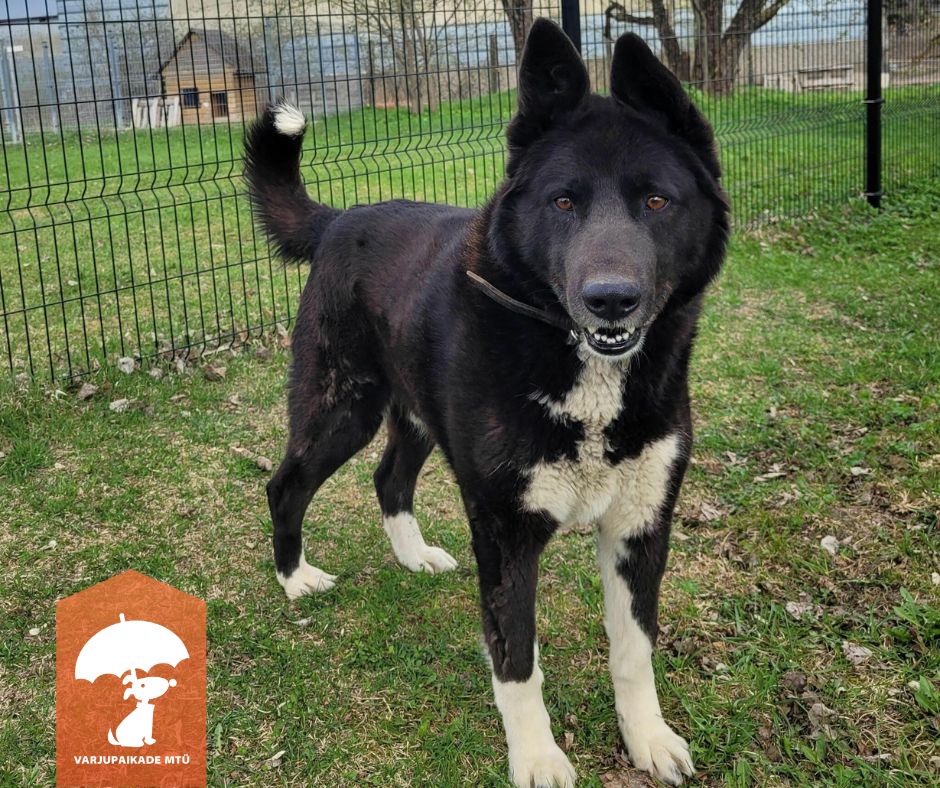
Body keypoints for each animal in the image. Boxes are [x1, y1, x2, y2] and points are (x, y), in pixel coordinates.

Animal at [245, 18, 728, 787]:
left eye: (657, 201)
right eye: (563, 201)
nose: (610, 299)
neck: (585, 370)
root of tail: (341, 217)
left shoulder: (641, 527)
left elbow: (634, 651)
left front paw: (646, 737)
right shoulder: (505, 535)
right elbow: (517, 661)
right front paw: (536, 757)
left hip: (414, 413)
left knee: (389, 477)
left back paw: (412, 556)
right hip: (342, 406)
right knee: (285, 484)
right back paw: (295, 579)